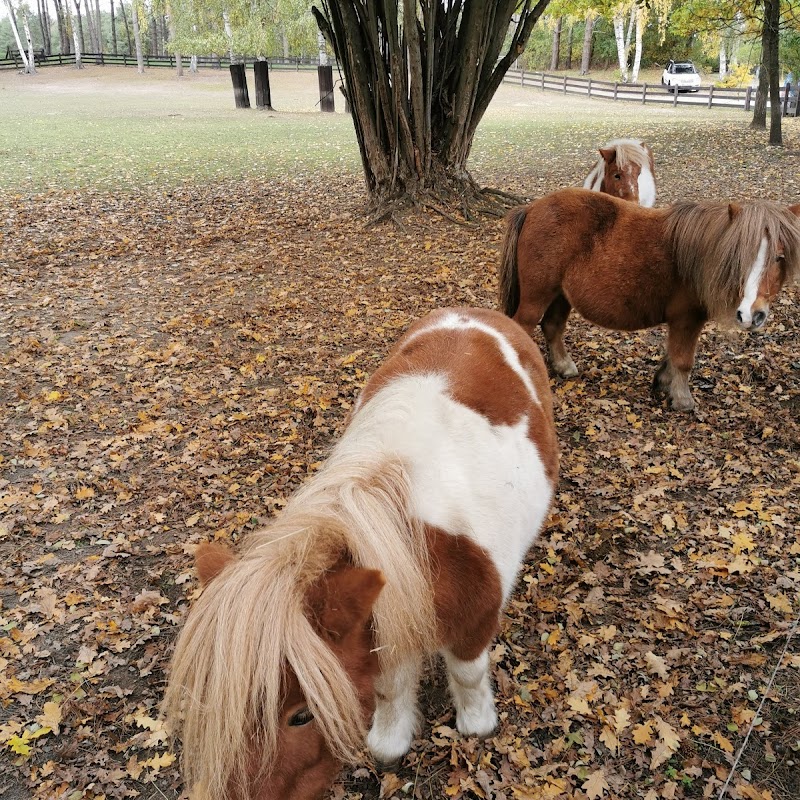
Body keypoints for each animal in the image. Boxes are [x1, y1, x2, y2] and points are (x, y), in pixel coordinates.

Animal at [162, 308, 560, 800]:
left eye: (300, 715)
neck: (424, 545)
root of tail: (475, 314)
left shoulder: (475, 624)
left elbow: (467, 674)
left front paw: (476, 724)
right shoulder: (387, 620)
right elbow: (388, 685)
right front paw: (391, 740)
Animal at [500, 189, 800, 412]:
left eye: (780, 257)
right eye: (738, 257)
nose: (752, 315)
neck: (697, 255)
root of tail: (531, 208)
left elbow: (672, 355)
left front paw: (663, 382)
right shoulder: (687, 319)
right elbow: (683, 359)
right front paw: (682, 400)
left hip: (561, 296)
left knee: (552, 326)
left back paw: (564, 366)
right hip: (537, 297)